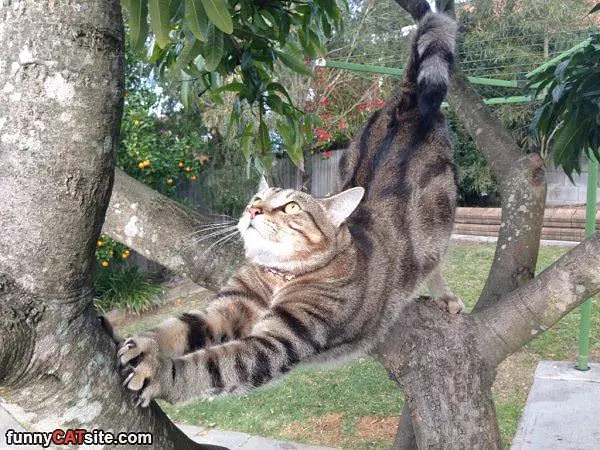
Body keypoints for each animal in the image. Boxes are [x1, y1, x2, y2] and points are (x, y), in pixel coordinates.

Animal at [118, 6, 464, 408]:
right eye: (256, 199)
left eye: (292, 208)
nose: (253, 211)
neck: (276, 275)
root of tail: (410, 97)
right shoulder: (228, 307)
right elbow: (181, 325)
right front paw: (146, 343)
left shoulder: (276, 341)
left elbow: (211, 366)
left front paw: (159, 371)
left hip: (440, 222)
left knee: (434, 261)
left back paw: (444, 295)